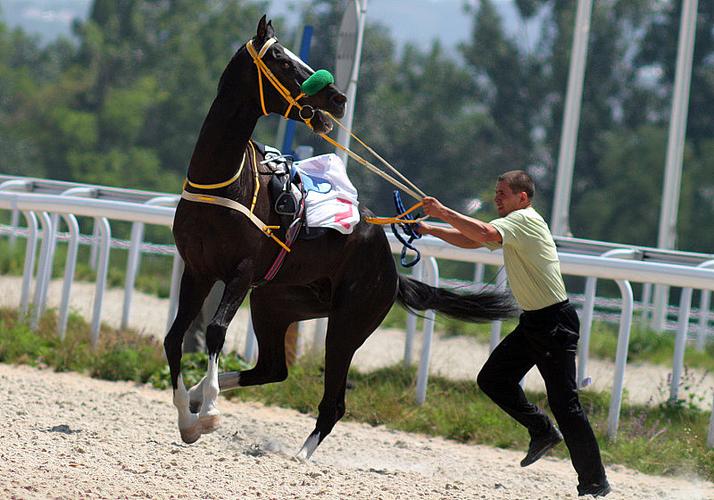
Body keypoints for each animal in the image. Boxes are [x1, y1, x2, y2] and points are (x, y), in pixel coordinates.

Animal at [164, 15, 518, 460]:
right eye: (283, 60)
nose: (337, 97)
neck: (223, 182)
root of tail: (391, 270)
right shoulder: (198, 270)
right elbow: (174, 338)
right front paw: (188, 417)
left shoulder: (240, 274)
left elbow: (214, 330)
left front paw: (208, 412)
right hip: (277, 303)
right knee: (272, 369)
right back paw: (203, 398)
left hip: (349, 322)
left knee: (333, 401)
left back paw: (300, 455)